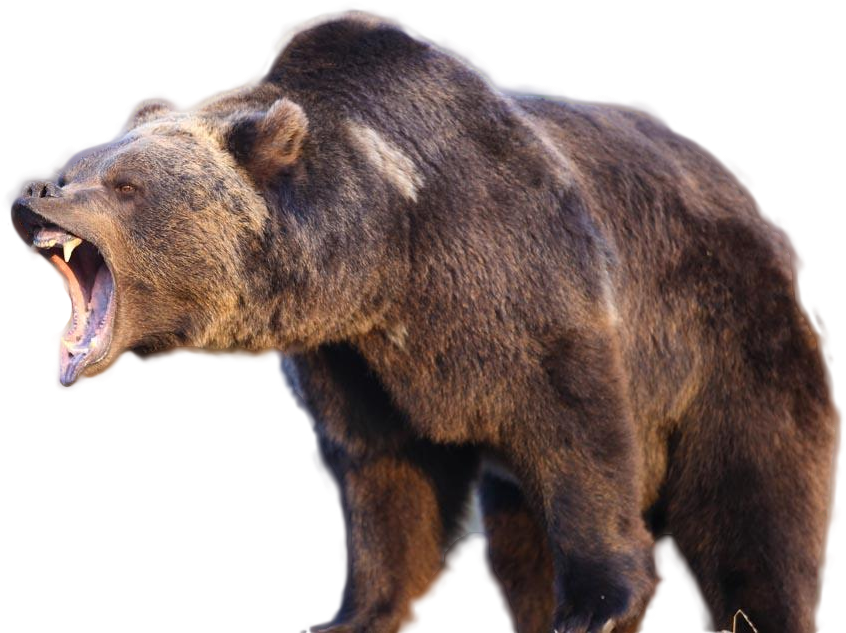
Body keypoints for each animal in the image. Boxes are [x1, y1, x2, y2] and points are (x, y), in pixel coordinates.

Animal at [5, 4, 840, 633]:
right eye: (71, 158)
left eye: (124, 184)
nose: (28, 191)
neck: (389, 252)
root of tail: (748, 196)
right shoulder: (355, 358)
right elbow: (384, 477)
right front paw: (352, 613)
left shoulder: (524, 282)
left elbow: (579, 433)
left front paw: (598, 601)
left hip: (728, 335)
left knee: (755, 498)